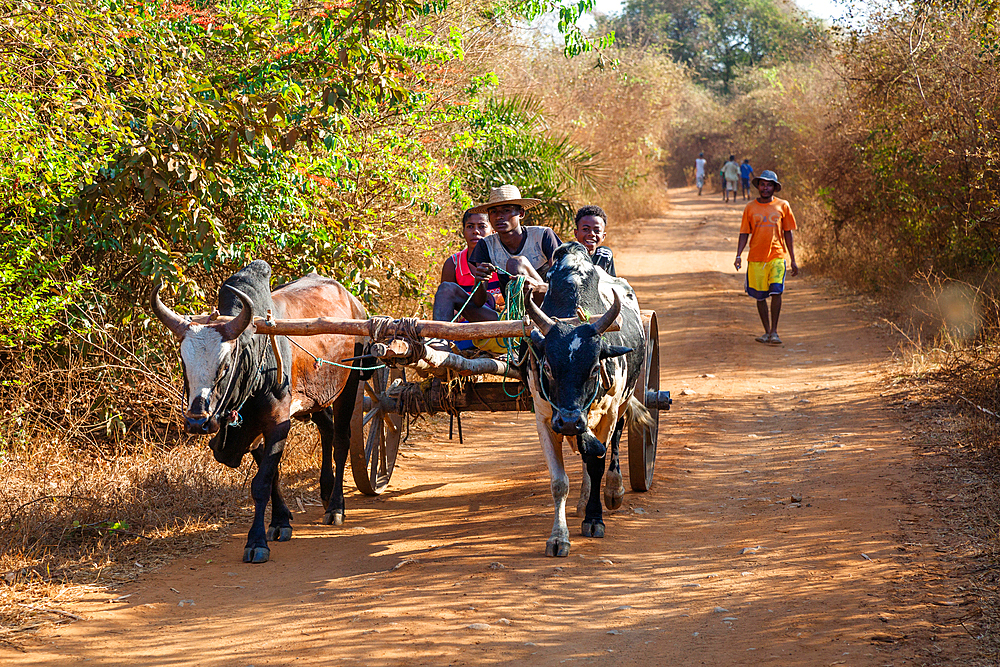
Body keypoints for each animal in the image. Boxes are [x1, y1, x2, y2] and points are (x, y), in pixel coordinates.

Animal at [152, 260, 364, 564]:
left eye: (225, 365)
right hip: (317, 398)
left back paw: (336, 506)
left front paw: (256, 541)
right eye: (183, 362)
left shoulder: (278, 422)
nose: (196, 422)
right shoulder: (255, 429)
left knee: (341, 440)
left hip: (351, 385)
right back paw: (325, 491)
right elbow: (272, 474)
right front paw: (280, 521)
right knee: (327, 430)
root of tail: (354, 302)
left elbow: (261, 483)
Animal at [520, 243, 652, 556]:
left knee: (613, 443)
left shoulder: (608, 411)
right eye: (547, 367)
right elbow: (559, 481)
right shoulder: (545, 418)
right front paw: (558, 537)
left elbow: (596, 462)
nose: (569, 421)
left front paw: (594, 520)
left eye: (594, 368)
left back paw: (613, 490)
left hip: (624, 401)